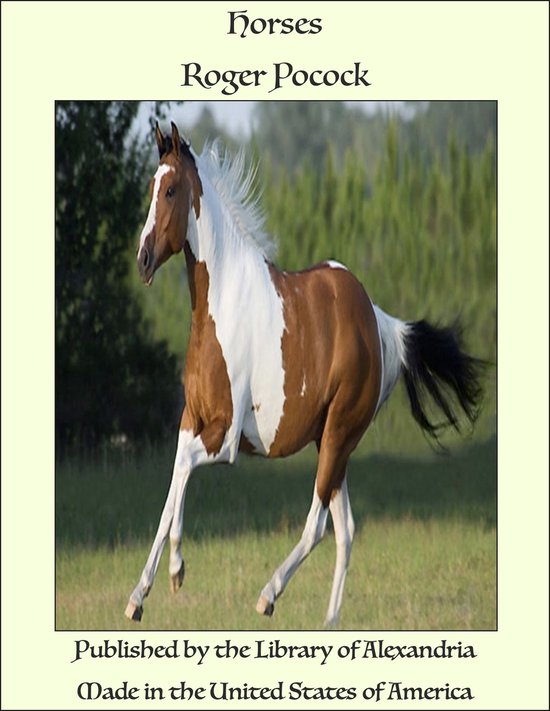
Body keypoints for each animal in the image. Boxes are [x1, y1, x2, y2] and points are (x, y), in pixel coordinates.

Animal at [125, 121, 484, 627]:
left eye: (171, 190)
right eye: (151, 189)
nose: (143, 260)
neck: (222, 308)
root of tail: (381, 325)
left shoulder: (225, 439)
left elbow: (182, 476)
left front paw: (164, 579)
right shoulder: (191, 421)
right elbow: (173, 485)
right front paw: (155, 586)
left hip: (336, 435)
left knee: (317, 524)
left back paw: (268, 596)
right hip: (333, 443)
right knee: (346, 528)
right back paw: (328, 622)